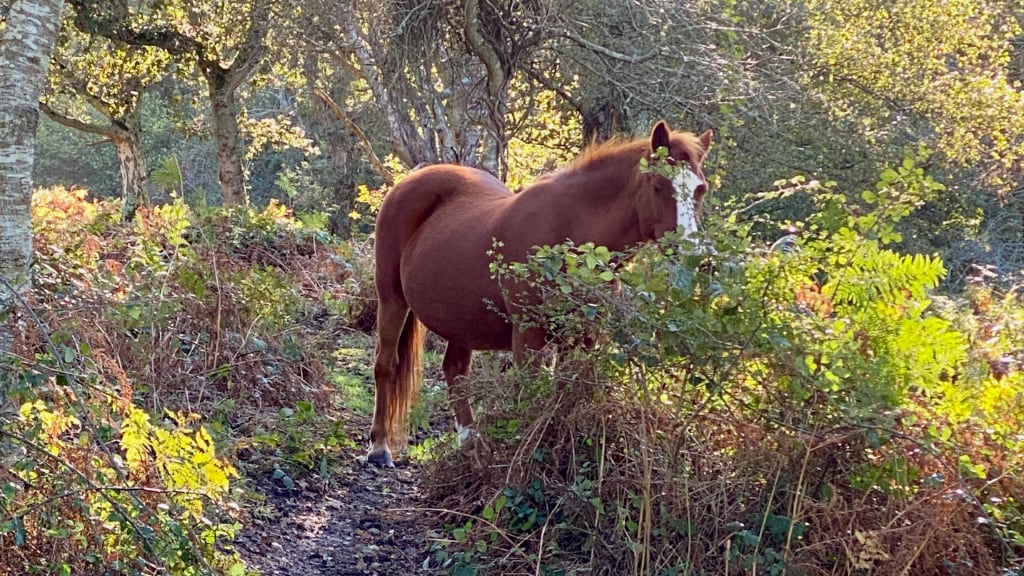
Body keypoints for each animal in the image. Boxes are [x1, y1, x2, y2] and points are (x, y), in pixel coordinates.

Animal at [367, 120, 712, 467]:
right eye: (658, 185)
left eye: (701, 189)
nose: (693, 253)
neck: (571, 236)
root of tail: (408, 183)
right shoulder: (528, 334)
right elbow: (528, 394)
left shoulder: (584, 336)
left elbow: (565, 393)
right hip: (392, 299)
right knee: (386, 364)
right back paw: (379, 448)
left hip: (459, 319)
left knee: (455, 370)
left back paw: (471, 446)